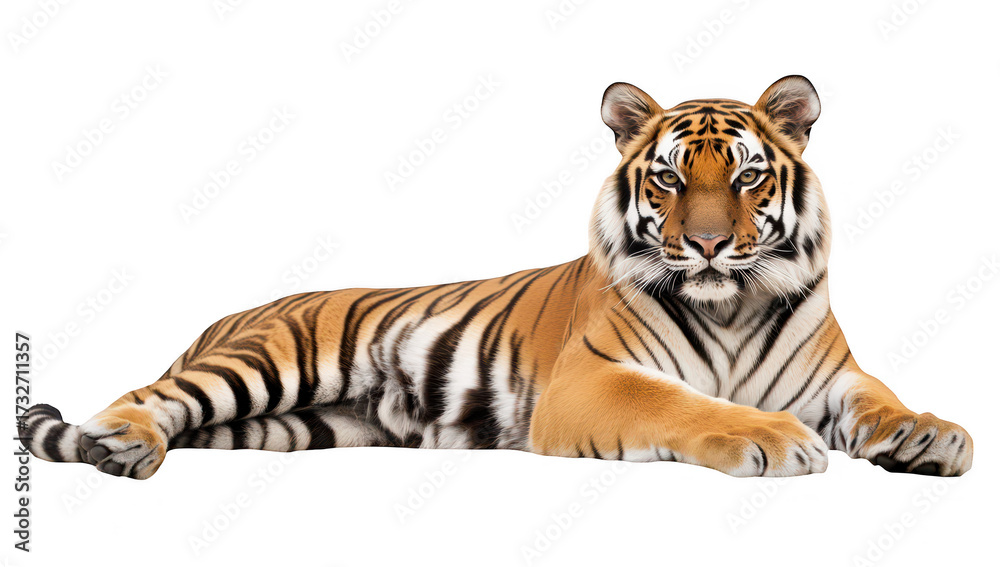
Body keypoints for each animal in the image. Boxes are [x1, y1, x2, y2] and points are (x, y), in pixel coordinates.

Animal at [20, 75, 973, 479]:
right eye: (669, 179)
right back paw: (121, 443)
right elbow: (685, 404)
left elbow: (883, 396)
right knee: (148, 394)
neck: (730, 304)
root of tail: (225, 316)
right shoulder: (592, 380)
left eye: (745, 177)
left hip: (297, 425)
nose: (705, 245)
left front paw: (934, 434)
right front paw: (773, 439)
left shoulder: (834, 374)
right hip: (268, 361)